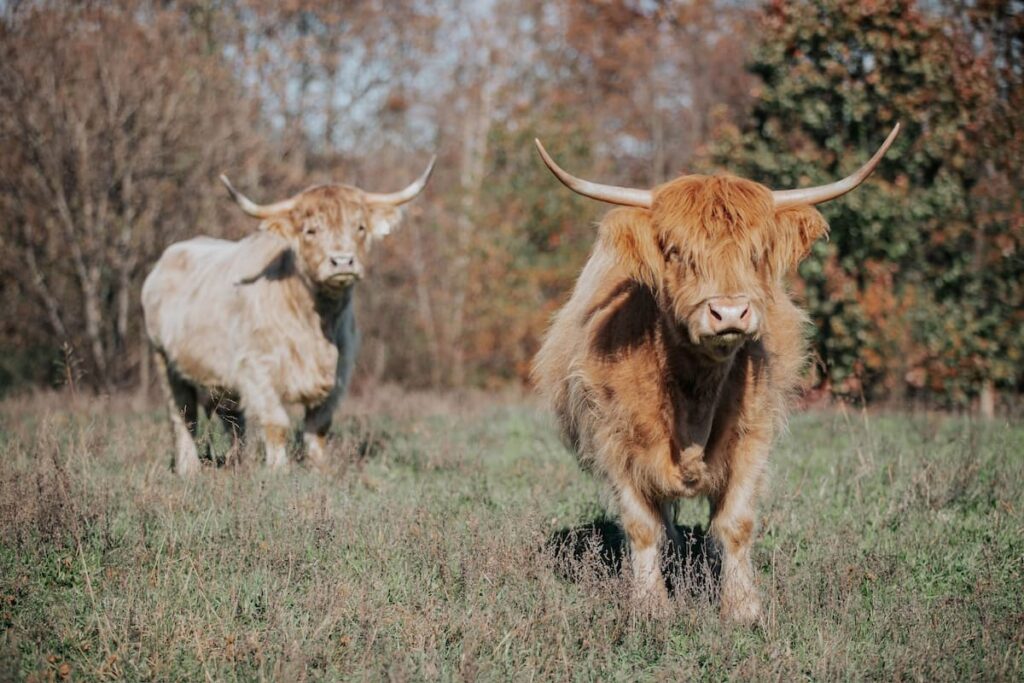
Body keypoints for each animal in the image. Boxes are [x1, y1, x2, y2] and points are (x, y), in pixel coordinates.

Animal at [142, 157, 435, 476]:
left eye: (359, 227)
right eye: (310, 231)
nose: (342, 261)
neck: (317, 323)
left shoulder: (339, 372)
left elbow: (319, 426)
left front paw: (319, 469)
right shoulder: (258, 369)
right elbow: (276, 423)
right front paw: (278, 470)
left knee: (233, 421)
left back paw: (238, 462)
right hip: (165, 363)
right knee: (183, 416)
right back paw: (189, 468)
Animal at [531, 125, 899, 622]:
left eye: (757, 253)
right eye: (676, 252)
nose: (728, 312)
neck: (693, 392)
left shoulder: (752, 434)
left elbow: (736, 522)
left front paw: (742, 606)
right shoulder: (614, 438)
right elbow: (642, 525)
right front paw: (651, 606)